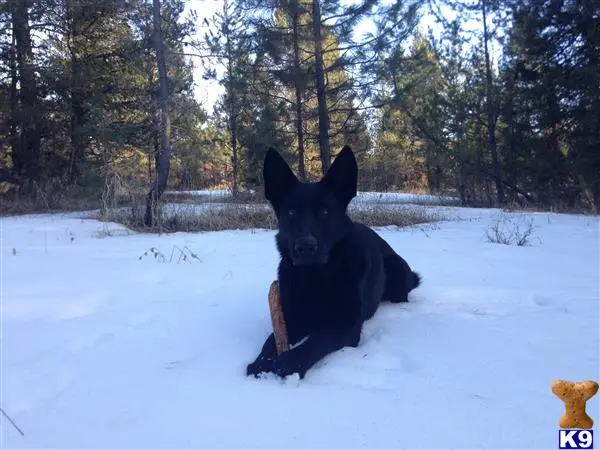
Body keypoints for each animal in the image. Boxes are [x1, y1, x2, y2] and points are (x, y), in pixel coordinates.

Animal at [246, 146, 420, 378]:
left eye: (324, 212)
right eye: (291, 212)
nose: (305, 247)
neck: (316, 277)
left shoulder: (345, 323)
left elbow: (319, 338)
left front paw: (291, 360)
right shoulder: (290, 316)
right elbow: (271, 339)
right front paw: (262, 362)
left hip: (396, 268)